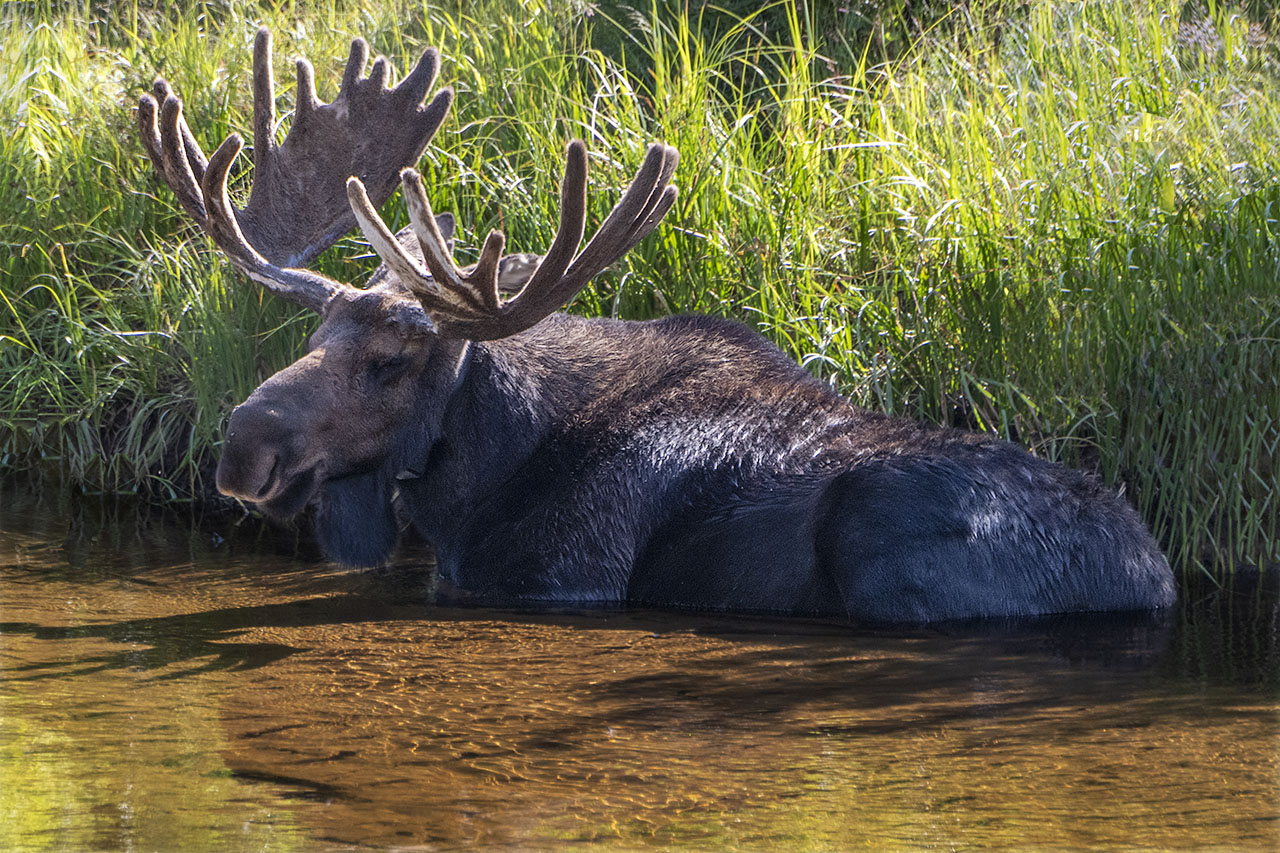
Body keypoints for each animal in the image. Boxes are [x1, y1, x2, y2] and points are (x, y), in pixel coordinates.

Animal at [137, 29, 1172, 622]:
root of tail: (1155, 571)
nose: (242, 445)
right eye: (313, 341)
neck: (471, 473)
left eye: (392, 358)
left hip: (881, 532)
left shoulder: (556, 578)